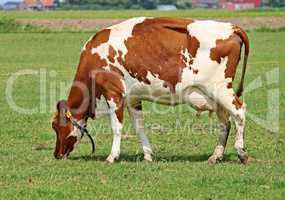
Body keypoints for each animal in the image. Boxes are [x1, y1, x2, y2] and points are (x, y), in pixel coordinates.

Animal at [51, 17, 248, 164]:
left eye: (55, 126)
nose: (56, 154)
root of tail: (232, 27)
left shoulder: (113, 93)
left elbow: (116, 126)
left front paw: (112, 156)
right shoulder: (132, 98)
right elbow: (139, 126)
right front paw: (147, 154)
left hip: (220, 89)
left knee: (239, 112)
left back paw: (241, 153)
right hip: (215, 96)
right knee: (225, 121)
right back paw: (216, 156)